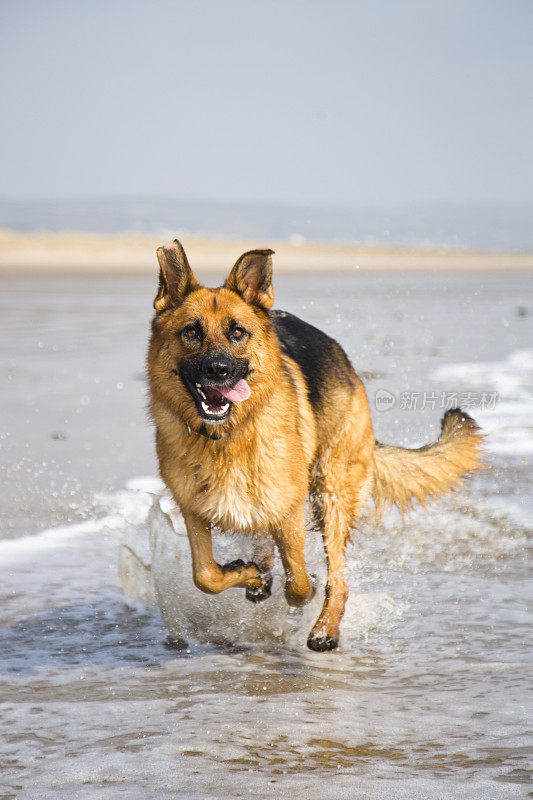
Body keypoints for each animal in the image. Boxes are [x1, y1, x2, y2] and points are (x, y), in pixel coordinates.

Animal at [147, 242, 482, 648]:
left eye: (237, 332)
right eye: (192, 332)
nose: (218, 370)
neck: (228, 436)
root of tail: (345, 361)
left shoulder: (289, 511)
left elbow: (299, 584)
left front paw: (292, 587)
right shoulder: (194, 510)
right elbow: (206, 576)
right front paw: (251, 575)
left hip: (330, 491)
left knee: (338, 578)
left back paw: (325, 629)